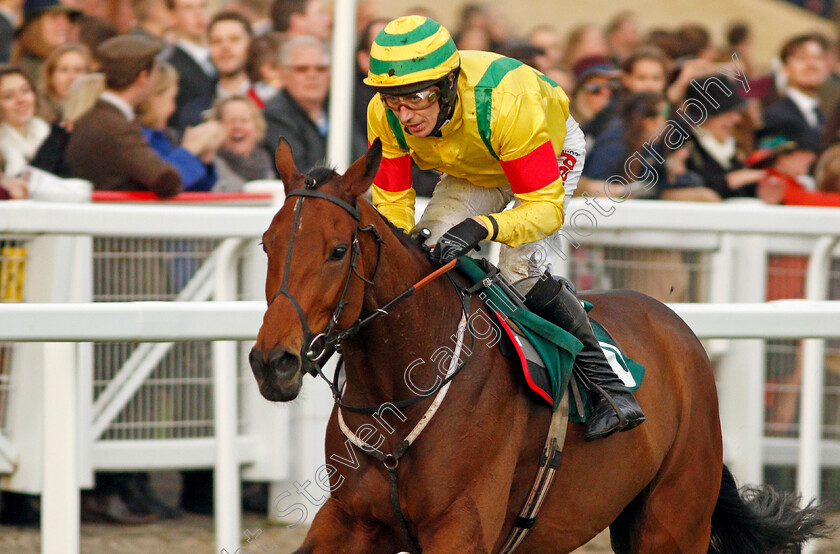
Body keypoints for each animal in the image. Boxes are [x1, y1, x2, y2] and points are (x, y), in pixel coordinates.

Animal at [249, 139, 828, 552]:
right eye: (267, 244)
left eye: (336, 250)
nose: (272, 362)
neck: (398, 392)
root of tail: (676, 327)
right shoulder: (349, 519)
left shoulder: (461, 526)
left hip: (675, 518)